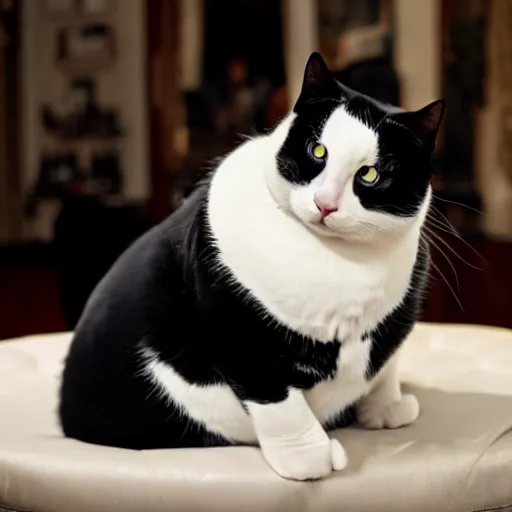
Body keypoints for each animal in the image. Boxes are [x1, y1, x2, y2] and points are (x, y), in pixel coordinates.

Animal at [59, 54, 444, 482]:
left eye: (370, 174)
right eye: (317, 151)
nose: (325, 204)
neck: (336, 262)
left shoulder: (393, 323)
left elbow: (385, 366)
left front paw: (387, 408)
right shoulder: (241, 335)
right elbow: (280, 403)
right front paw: (309, 457)